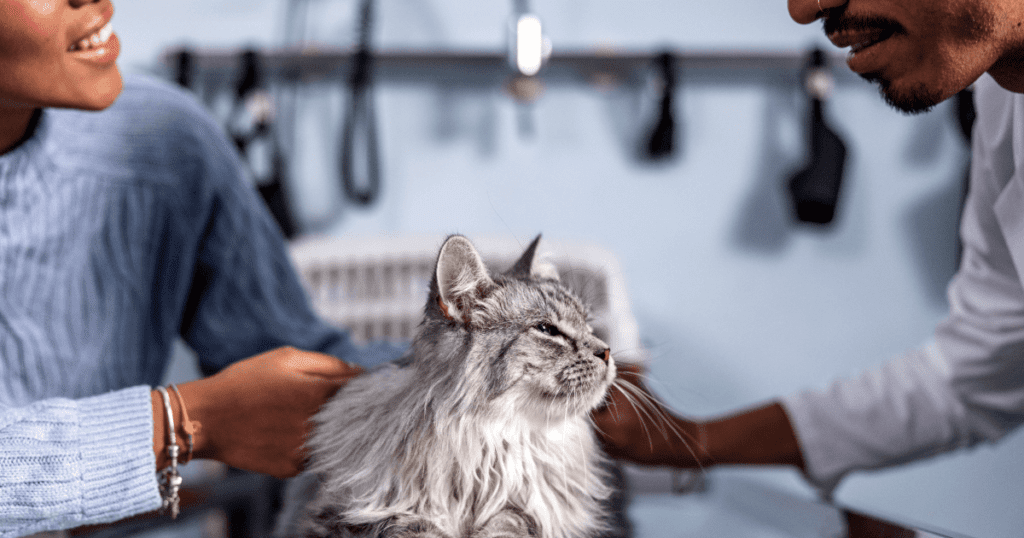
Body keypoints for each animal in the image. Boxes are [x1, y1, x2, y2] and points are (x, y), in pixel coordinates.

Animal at [294, 234, 614, 536]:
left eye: (588, 325)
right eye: (547, 330)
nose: (607, 352)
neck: (487, 442)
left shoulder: (534, 509)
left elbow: (512, 520)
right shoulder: (355, 513)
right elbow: (409, 526)